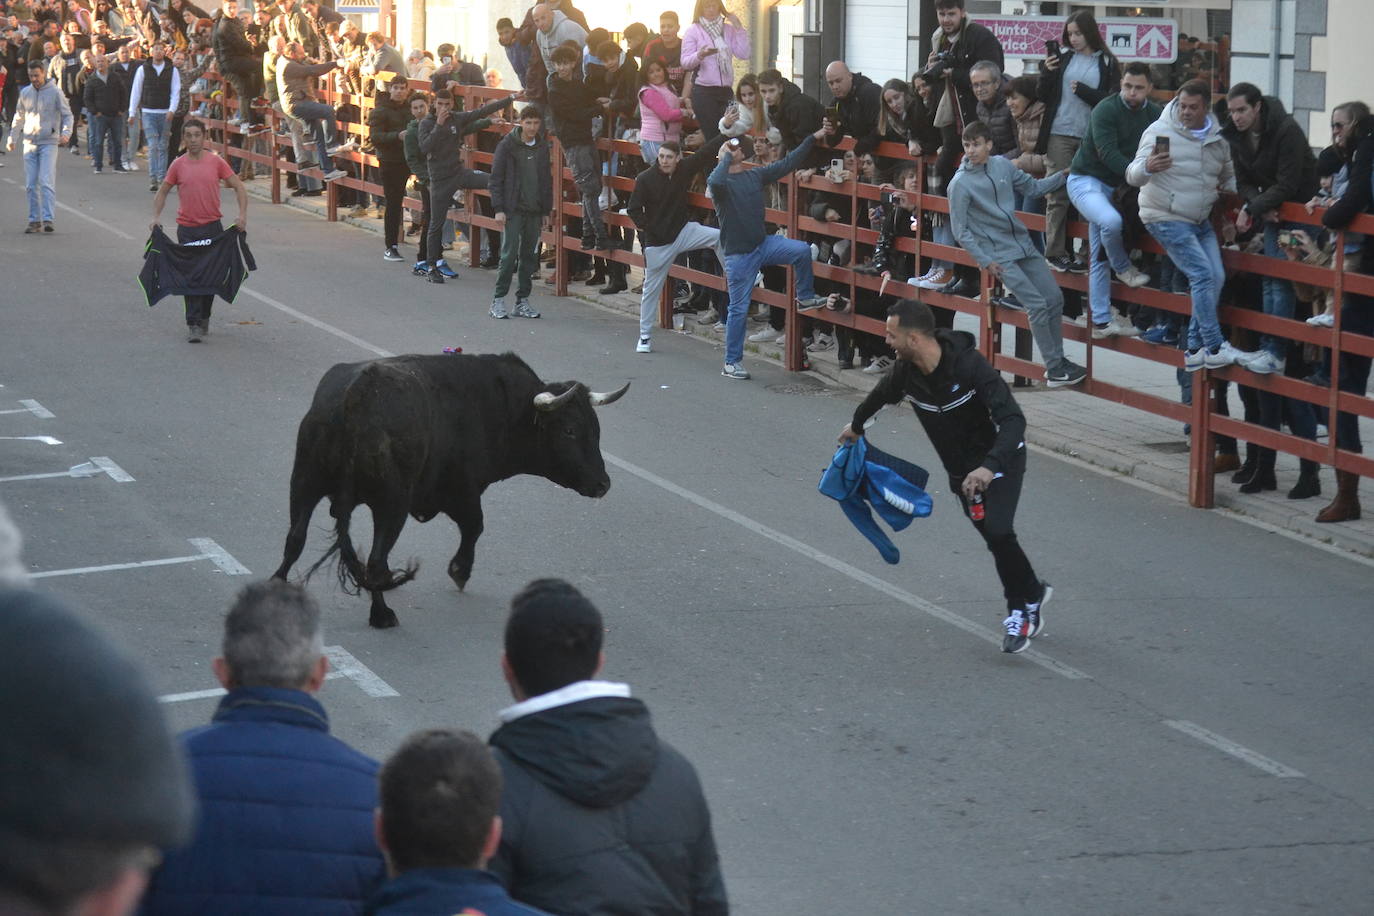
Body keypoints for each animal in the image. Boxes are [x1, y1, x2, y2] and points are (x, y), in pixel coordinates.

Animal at [269, 354, 632, 631]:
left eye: (596, 429)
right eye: (569, 430)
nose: (603, 484)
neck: (499, 406)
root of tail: (356, 397)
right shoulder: (463, 491)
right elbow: (475, 526)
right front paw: (460, 570)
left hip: (304, 482)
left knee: (295, 538)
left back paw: (277, 589)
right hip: (390, 505)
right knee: (372, 560)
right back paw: (382, 614)